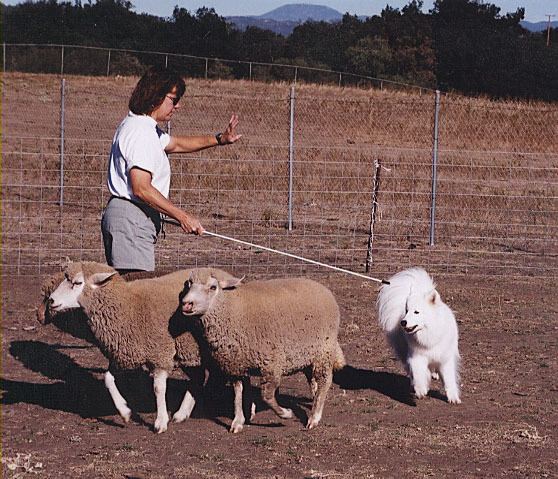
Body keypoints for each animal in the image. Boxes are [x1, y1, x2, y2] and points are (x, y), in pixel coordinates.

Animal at [47, 262, 236, 436]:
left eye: (78, 283)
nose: (51, 300)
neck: (129, 306)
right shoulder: (125, 353)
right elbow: (108, 379)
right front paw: (125, 412)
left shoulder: (160, 353)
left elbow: (158, 388)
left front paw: (160, 422)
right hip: (187, 351)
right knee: (199, 377)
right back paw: (182, 413)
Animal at [180, 272, 346, 434]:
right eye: (189, 284)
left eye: (213, 287)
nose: (187, 304)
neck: (232, 309)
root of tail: (323, 288)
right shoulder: (236, 365)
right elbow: (238, 394)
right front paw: (238, 421)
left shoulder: (271, 364)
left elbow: (266, 396)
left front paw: (286, 413)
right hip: (308, 354)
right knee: (313, 380)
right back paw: (315, 399)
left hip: (324, 350)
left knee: (325, 380)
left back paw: (314, 417)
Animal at [376, 268, 464, 404]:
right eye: (407, 311)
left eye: (416, 312)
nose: (403, 322)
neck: (428, 334)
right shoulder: (417, 357)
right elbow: (418, 374)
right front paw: (421, 390)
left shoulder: (445, 359)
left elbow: (449, 380)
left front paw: (453, 397)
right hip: (404, 351)